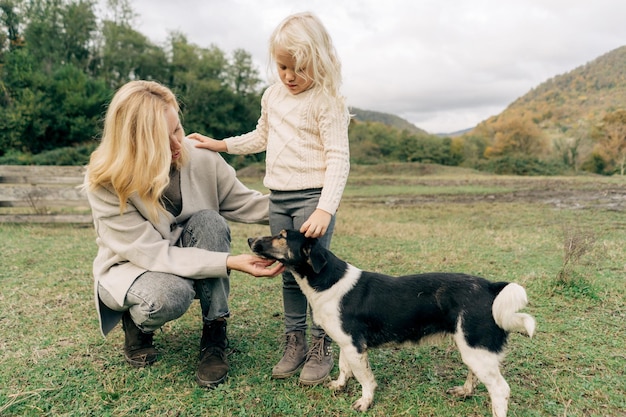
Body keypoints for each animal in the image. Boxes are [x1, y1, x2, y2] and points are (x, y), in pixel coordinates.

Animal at [246, 229, 532, 414]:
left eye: (282, 236)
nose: (249, 239)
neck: (327, 280)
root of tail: (490, 287)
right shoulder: (346, 343)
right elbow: (343, 368)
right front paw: (339, 386)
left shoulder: (355, 347)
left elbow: (365, 379)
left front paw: (365, 402)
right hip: (472, 349)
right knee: (477, 376)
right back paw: (465, 391)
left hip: (477, 349)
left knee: (500, 390)